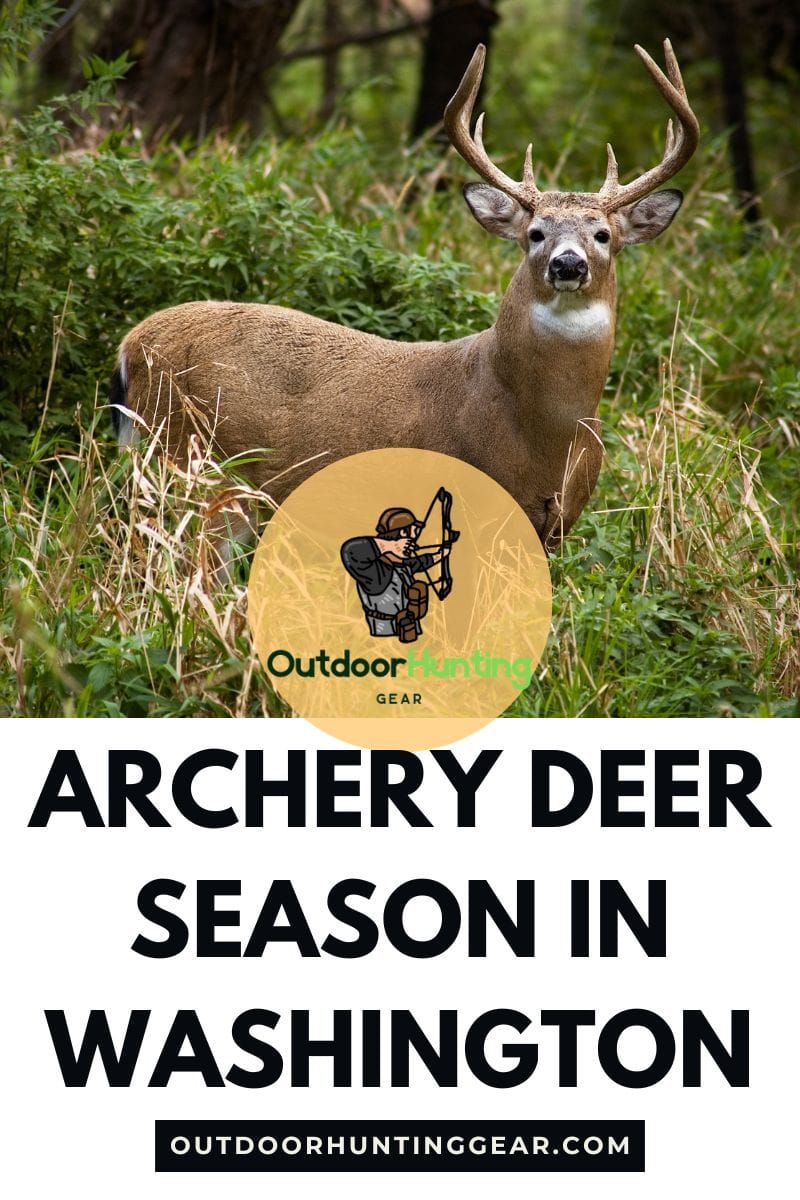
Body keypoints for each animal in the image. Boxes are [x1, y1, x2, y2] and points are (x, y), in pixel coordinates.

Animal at [109, 40, 698, 561]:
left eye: (603, 235)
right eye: (534, 232)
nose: (568, 264)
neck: (545, 431)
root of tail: (131, 344)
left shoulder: (556, 527)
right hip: (191, 463)